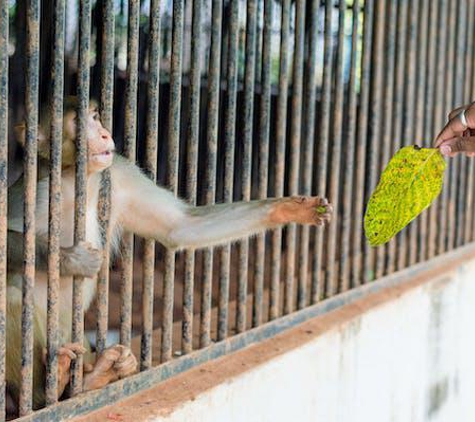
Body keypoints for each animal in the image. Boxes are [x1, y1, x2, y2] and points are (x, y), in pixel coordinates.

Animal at [5, 99, 332, 412]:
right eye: (78, 122)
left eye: (95, 117)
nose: (105, 134)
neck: (76, 180)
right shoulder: (37, 192)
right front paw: (72, 259)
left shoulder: (118, 174)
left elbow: (180, 226)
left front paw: (291, 208)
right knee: (12, 296)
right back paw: (47, 389)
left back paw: (95, 375)